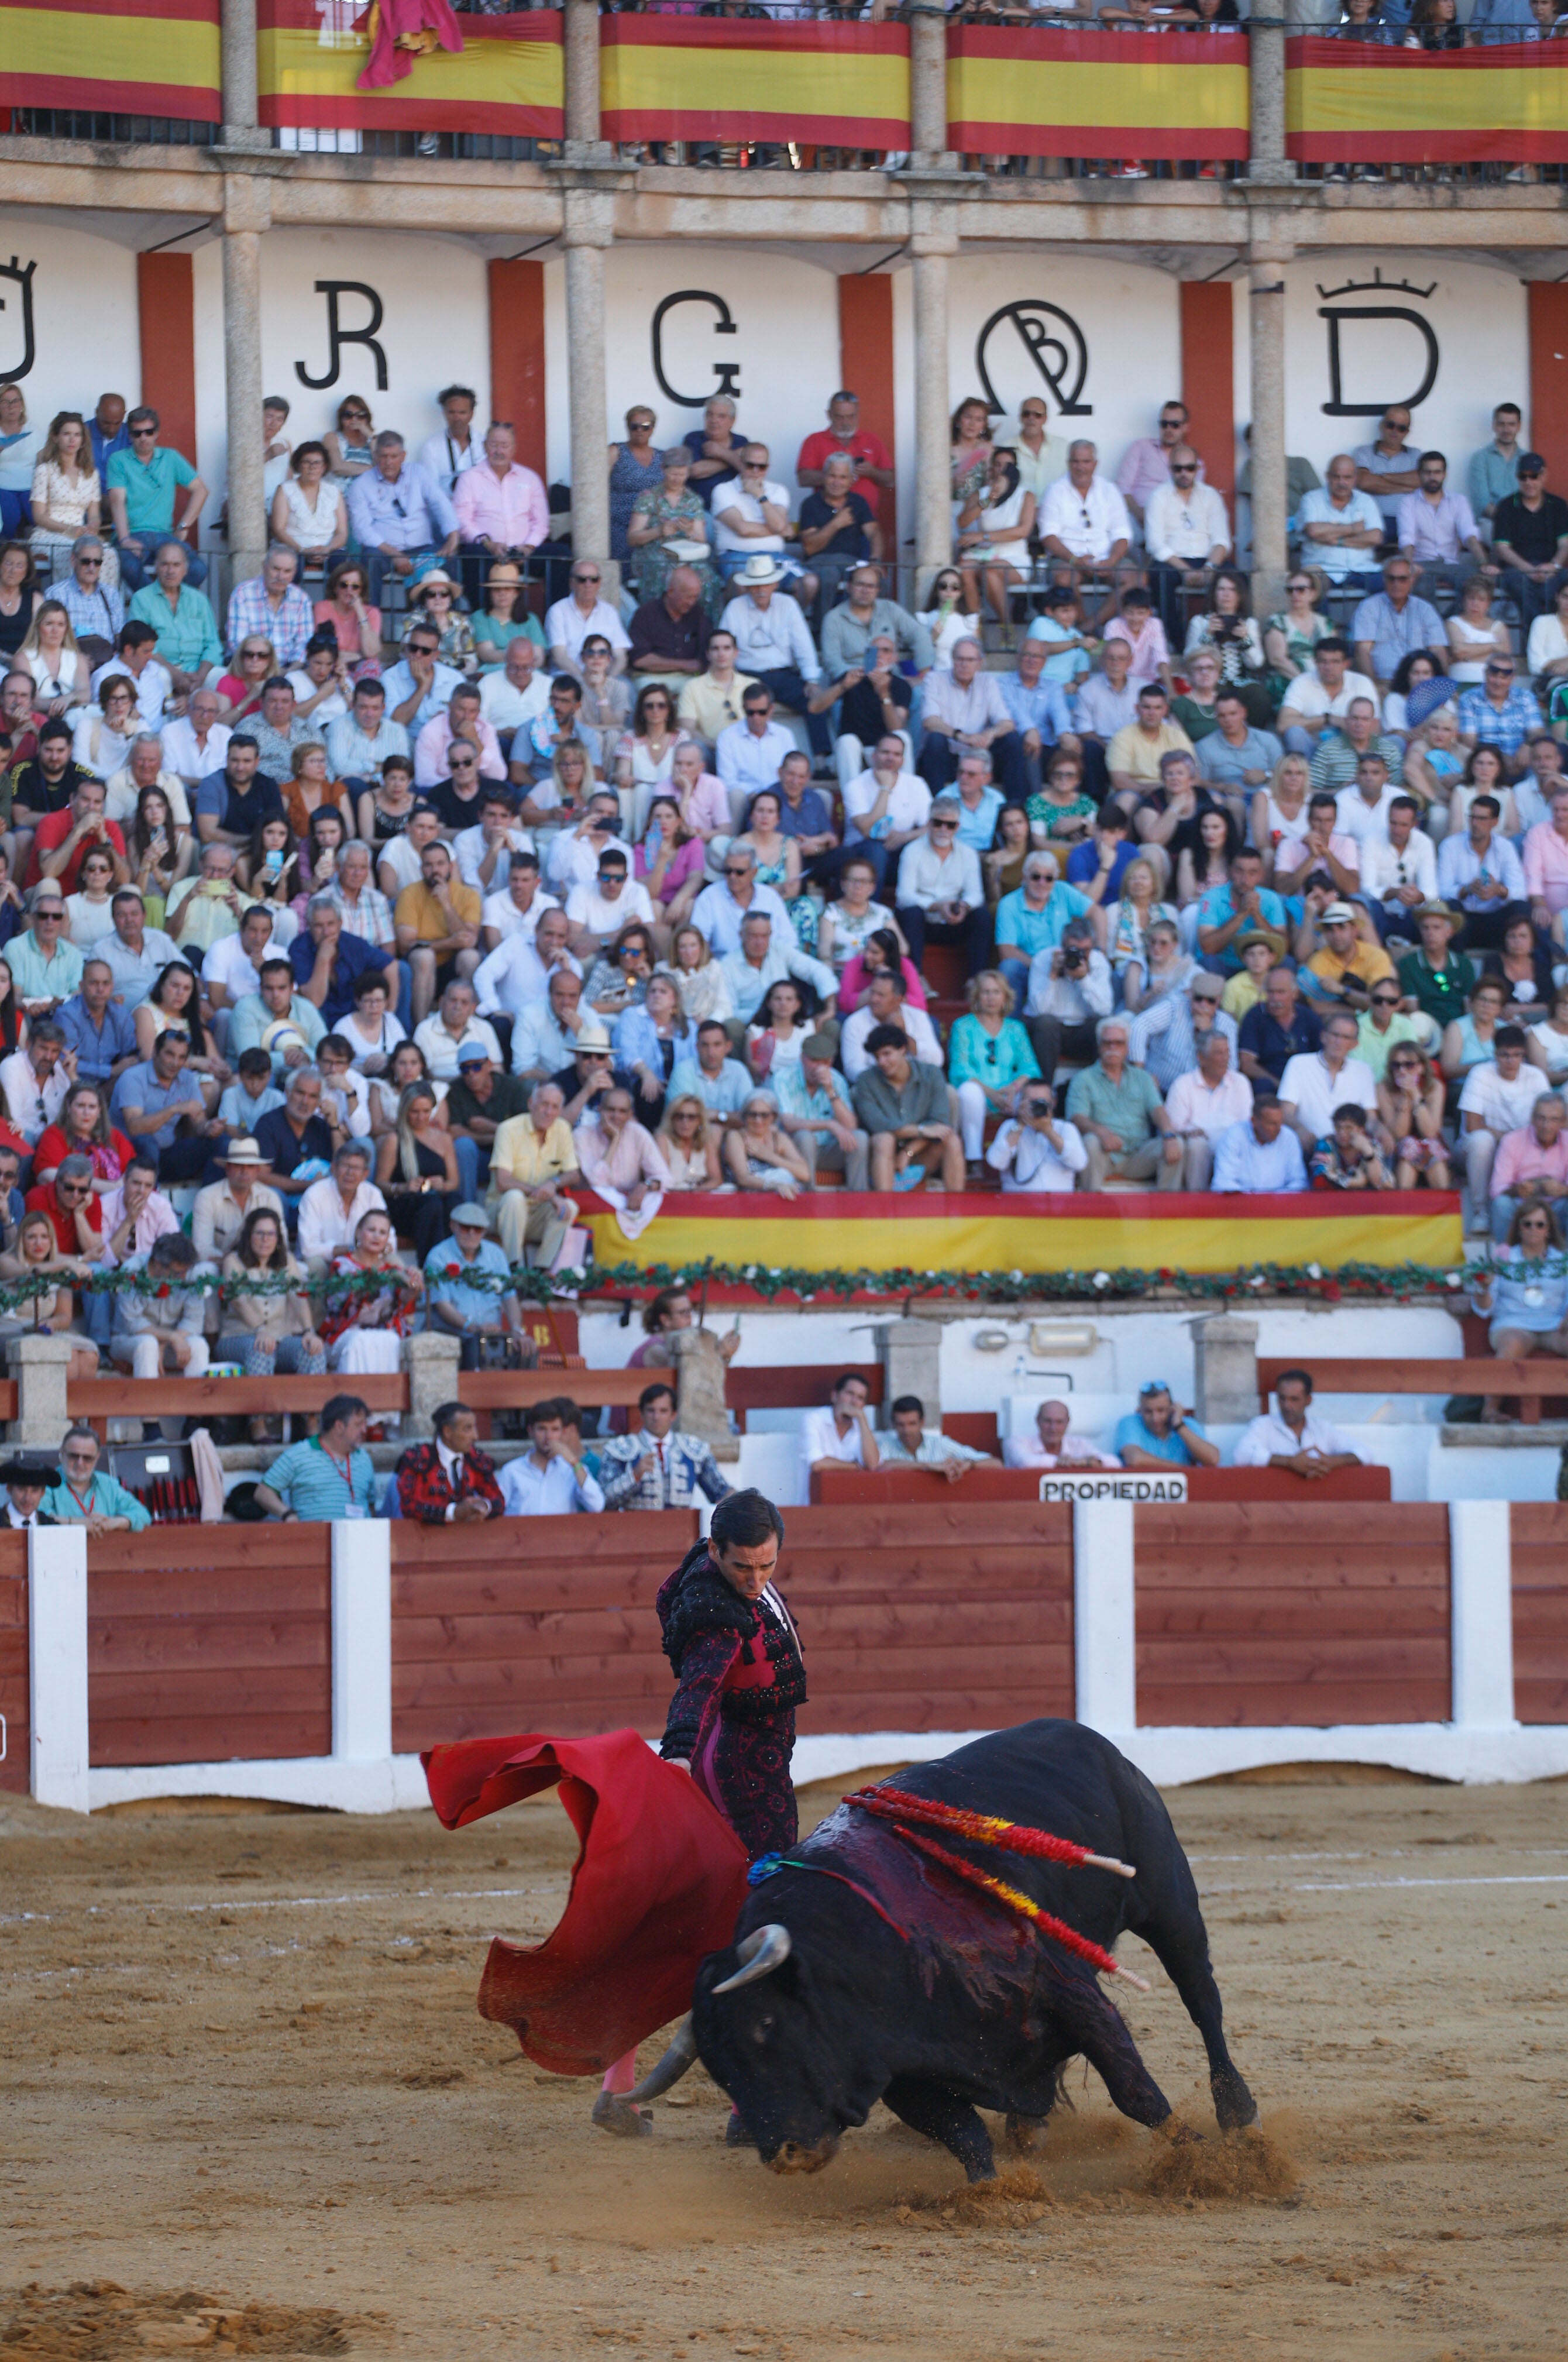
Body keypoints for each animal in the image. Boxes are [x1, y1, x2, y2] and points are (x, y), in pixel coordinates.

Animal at [666, 1719, 1256, 2173]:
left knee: (1202, 2000)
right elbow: (962, 2133)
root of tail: (1090, 1739)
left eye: (766, 2023)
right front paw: (993, 2194)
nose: (785, 2154)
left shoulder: (1068, 1989)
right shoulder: (900, 2069)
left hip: (1169, 1901)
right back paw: (1030, 2123)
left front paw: (1208, 2163)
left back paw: (1239, 2115)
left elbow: (1136, 2091)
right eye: (717, 2063)